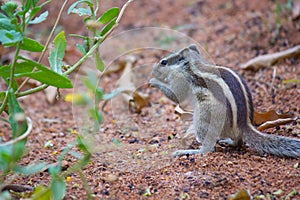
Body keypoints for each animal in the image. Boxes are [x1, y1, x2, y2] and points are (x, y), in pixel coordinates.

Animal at [150, 44, 300, 157]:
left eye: (164, 62)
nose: (153, 70)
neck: (193, 63)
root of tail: (244, 124)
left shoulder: (180, 78)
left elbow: (176, 96)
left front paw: (154, 81)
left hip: (205, 116)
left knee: (208, 149)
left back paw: (189, 151)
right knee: (238, 142)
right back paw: (227, 141)